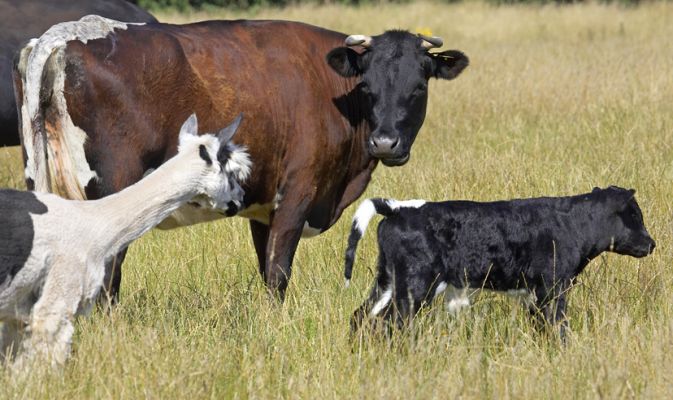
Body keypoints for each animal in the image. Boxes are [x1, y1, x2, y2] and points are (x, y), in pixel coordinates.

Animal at [15, 16, 469, 300]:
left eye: (419, 86)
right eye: (368, 86)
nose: (385, 143)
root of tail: (63, 36)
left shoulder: (263, 205)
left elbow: (265, 266)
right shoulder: (298, 191)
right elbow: (278, 273)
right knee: (108, 274)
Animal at [344, 187, 656, 340]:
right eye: (635, 215)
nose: (651, 243)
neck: (573, 223)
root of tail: (399, 208)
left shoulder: (536, 294)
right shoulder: (553, 288)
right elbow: (558, 326)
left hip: (387, 280)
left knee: (361, 317)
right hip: (415, 286)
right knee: (388, 322)